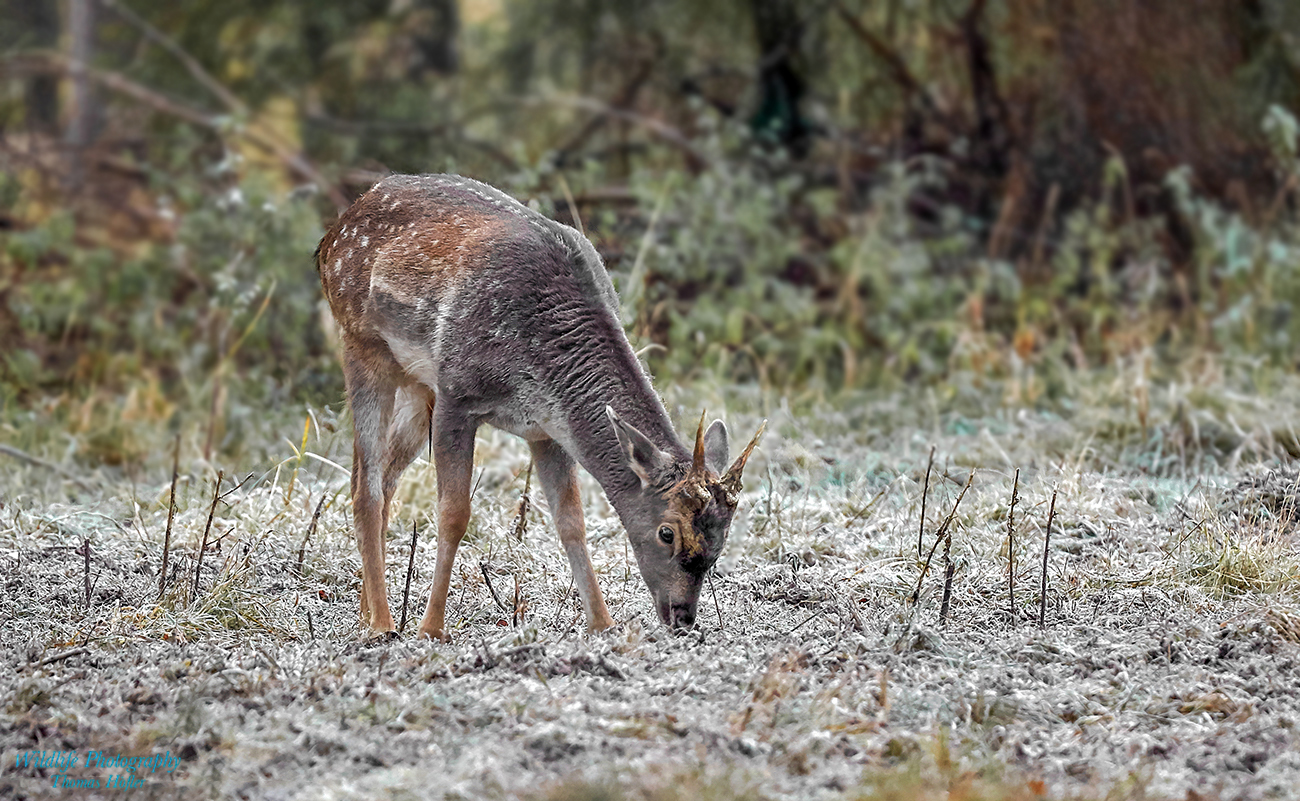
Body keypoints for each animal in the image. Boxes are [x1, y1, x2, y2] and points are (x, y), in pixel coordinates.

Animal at [315, 174, 759, 637]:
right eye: (667, 533)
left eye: (720, 543)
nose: (682, 617)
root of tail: (331, 236)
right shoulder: (458, 391)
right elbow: (454, 514)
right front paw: (431, 628)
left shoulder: (546, 430)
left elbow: (571, 522)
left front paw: (603, 624)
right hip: (361, 343)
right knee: (366, 487)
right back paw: (383, 624)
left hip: (419, 386)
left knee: (380, 478)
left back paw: (366, 612)